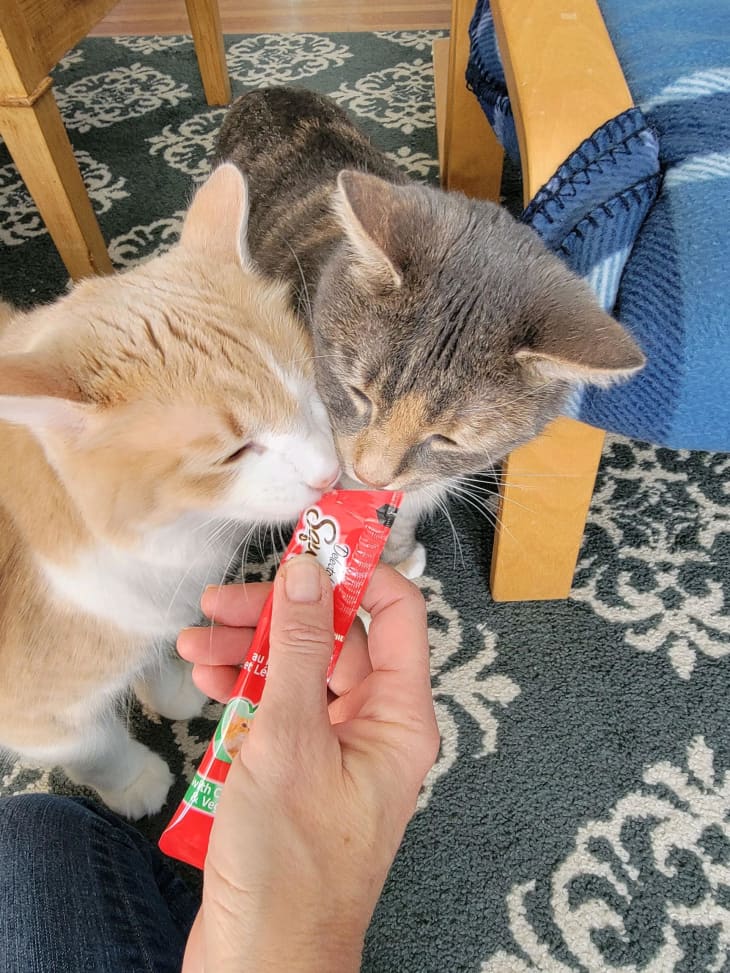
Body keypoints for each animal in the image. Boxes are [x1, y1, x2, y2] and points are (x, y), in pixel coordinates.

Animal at [0, 167, 338, 820]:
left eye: (310, 390)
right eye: (233, 453)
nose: (332, 474)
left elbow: (159, 652)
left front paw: (176, 690)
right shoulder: (35, 717)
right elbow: (97, 746)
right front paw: (136, 784)